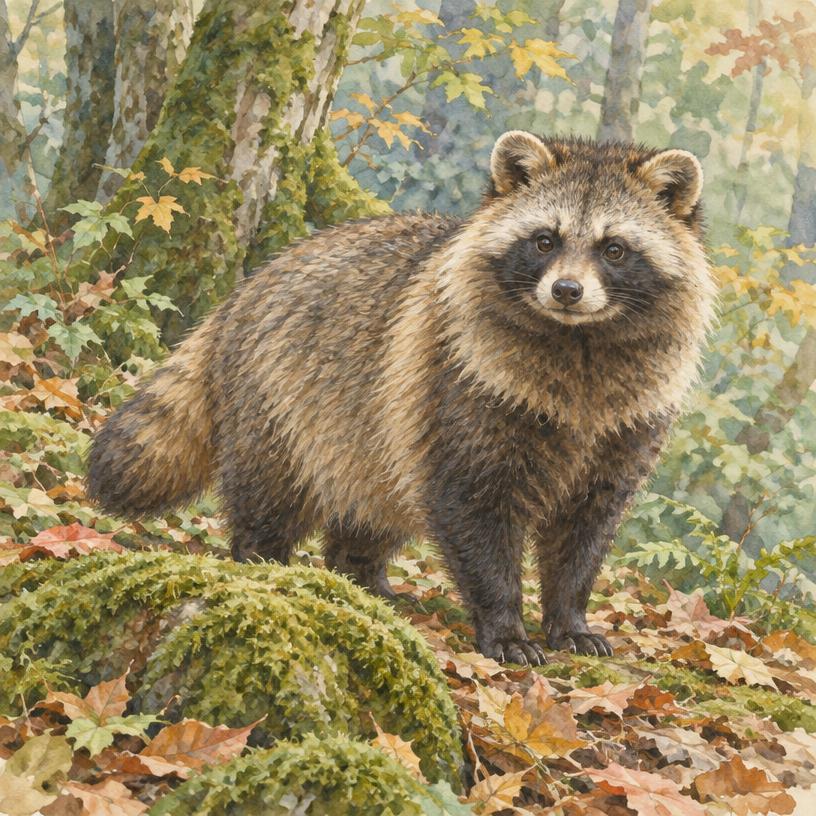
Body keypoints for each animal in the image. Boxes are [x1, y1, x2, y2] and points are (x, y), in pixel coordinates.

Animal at [88, 131, 715, 665]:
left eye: (614, 249)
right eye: (544, 240)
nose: (566, 290)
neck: (580, 340)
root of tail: (245, 291)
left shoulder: (628, 420)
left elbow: (587, 527)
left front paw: (569, 616)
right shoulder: (466, 383)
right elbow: (473, 505)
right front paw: (504, 622)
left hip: (371, 427)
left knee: (374, 501)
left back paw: (360, 572)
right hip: (281, 396)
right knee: (273, 488)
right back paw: (263, 556)